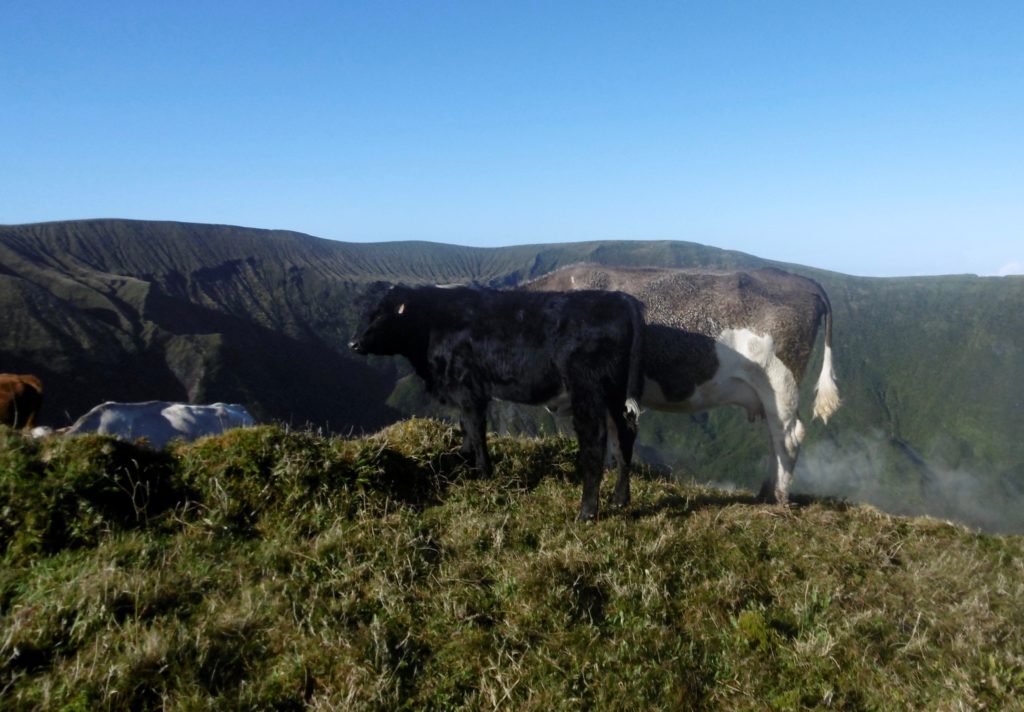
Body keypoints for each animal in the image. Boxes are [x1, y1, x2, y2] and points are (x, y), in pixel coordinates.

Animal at [348, 284, 643, 524]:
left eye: (381, 315)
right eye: (365, 312)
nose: (353, 343)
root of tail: (619, 299)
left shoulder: (469, 390)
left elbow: (477, 432)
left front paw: (484, 474)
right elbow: (465, 429)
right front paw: (463, 463)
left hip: (588, 390)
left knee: (595, 442)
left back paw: (587, 513)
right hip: (613, 393)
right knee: (623, 435)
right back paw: (620, 499)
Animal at [528, 264, 839, 504]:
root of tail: (801, 281)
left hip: (781, 381)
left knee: (788, 437)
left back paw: (777, 497)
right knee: (776, 438)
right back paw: (764, 493)